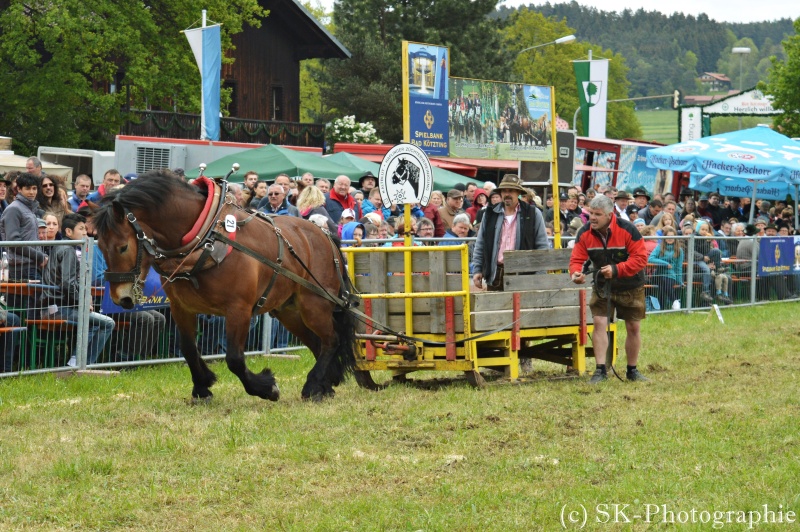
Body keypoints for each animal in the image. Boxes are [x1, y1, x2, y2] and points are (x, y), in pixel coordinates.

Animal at [90, 169, 356, 400]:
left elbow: (235, 358)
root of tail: (325, 235)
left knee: (331, 340)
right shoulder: (181, 307)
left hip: (314, 304)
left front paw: (266, 387)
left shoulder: (239, 309)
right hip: (289, 311)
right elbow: (189, 348)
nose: (121, 298)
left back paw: (313, 385)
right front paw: (202, 386)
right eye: (99, 245)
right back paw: (324, 384)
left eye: (123, 246)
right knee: (317, 342)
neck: (205, 238)